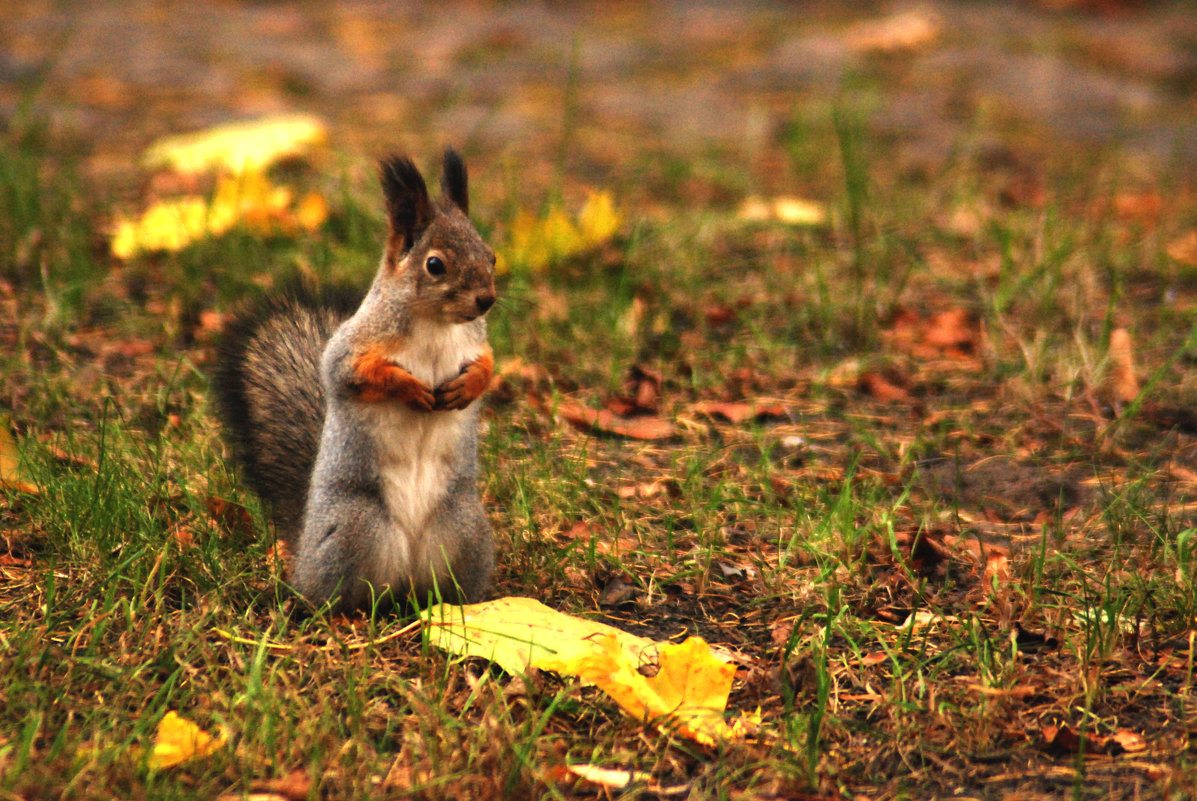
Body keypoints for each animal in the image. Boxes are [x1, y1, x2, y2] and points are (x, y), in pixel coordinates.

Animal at [214, 148, 495, 613]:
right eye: (435, 265)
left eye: (491, 255)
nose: (486, 299)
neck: (436, 325)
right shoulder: (351, 347)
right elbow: (349, 373)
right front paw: (409, 388)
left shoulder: (476, 341)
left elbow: (489, 367)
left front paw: (468, 386)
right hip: (354, 526)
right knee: (330, 594)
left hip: (464, 528)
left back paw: (462, 607)